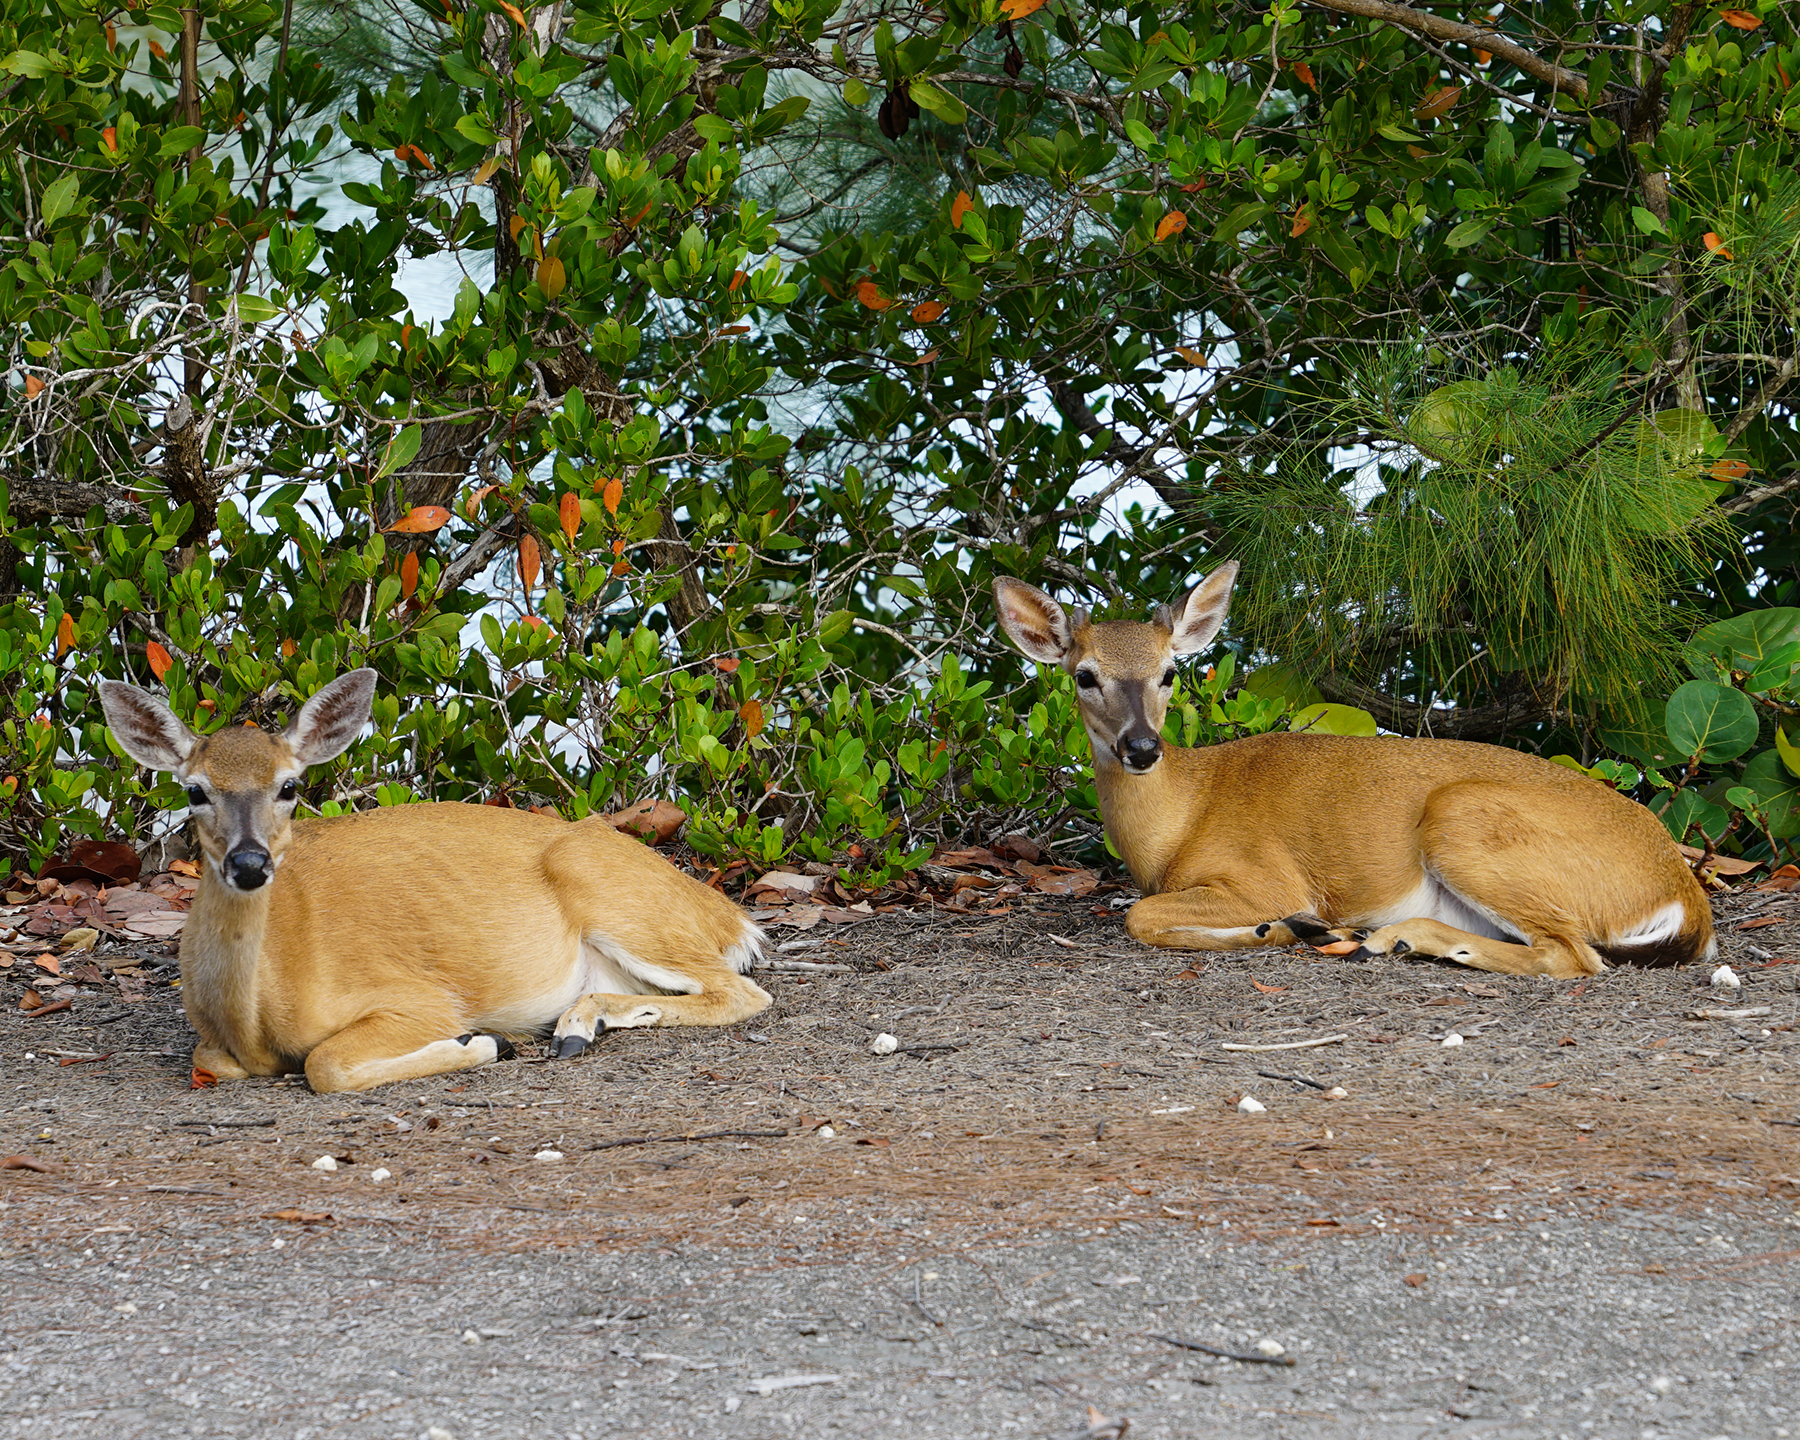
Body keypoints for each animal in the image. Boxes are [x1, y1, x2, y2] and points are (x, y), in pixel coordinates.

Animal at [98, 670, 770, 1092]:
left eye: (290, 786)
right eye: (194, 791)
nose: (249, 863)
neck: (254, 1014)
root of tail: (729, 915)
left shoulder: (415, 998)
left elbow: (325, 1064)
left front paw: (483, 1044)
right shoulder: (217, 1045)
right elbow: (211, 1059)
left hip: (617, 897)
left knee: (741, 992)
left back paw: (572, 1028)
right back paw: (581, 1024)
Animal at [994, 564, 1716, 980]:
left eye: (1170, 672)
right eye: (1085, 676)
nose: (1142, 748)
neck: (1176, 824)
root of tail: (1683, 892)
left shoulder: (1265, 874)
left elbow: (1141, 918)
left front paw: (1285, 927)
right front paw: (1293, 930)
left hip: (1464, 818)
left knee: (1573, 955)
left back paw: (1382, 939)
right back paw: (1384, 938)